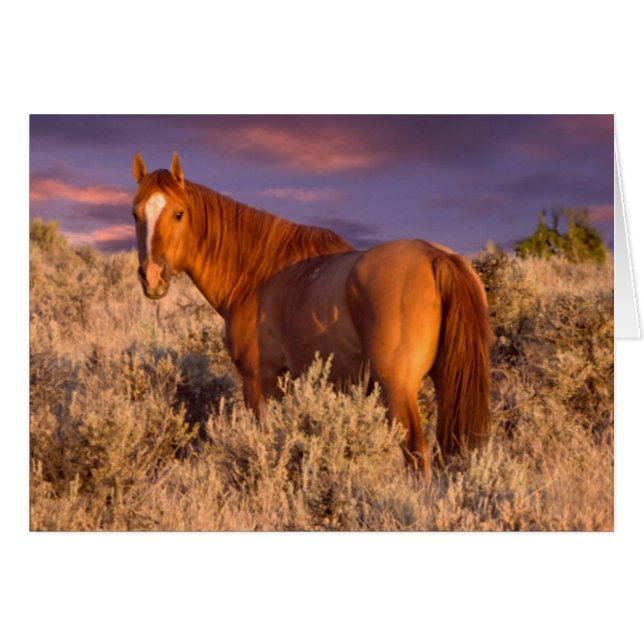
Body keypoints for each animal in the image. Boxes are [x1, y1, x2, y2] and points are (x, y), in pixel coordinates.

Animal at [131, 151, 492, 476]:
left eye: (179, 213)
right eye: (135, 214)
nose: (152, 277)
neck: (257, 275)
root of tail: (436, 258)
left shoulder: (259, 379)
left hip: (397, 387)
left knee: (416, 451)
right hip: (445, 382)